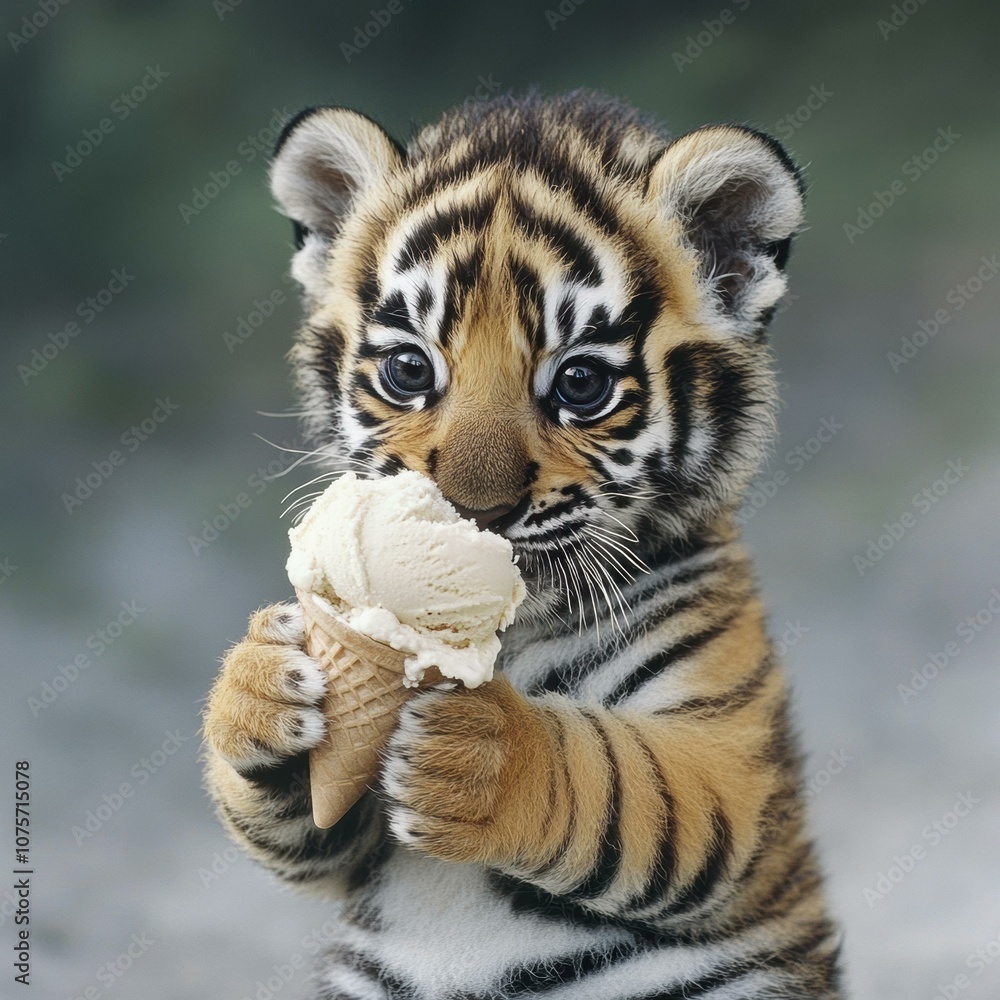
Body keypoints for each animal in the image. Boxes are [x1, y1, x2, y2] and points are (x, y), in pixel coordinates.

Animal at [203, 91, 844, 999]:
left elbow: (626, 777)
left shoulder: (733, 759)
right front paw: (258, 686)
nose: (478, 509)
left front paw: (478, 754)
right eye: (409, 370)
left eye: (580, 383)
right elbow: (310, 828)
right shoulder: (346, 840)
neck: (505, 634)